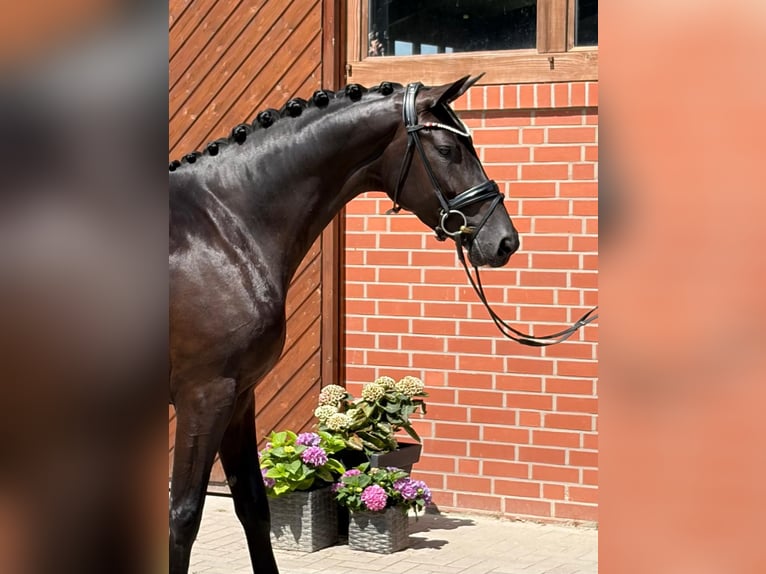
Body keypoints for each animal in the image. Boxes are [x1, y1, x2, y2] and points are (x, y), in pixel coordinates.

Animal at [169, 74, 519, 573]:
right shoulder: (204, 395)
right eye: (448, 150)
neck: (219, 232)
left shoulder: (238, 397)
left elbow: (253, 505)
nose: (504, 240)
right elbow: (184, 516)